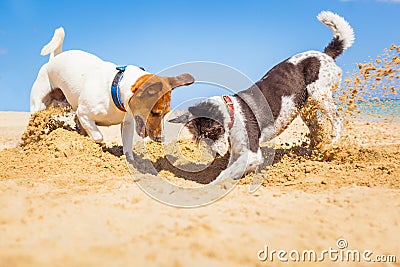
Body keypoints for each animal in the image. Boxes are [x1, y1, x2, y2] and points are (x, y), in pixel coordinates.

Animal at [30, 27, 195, 159]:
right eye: (154, 113)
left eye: (165, 113)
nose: (161, 138)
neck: (116, 91)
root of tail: (54, 59)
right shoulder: (83, 113)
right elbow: (98, 136)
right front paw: (97, 147)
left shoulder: (128, 123)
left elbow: (127, 147)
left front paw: (130, 161)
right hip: (39, 106)